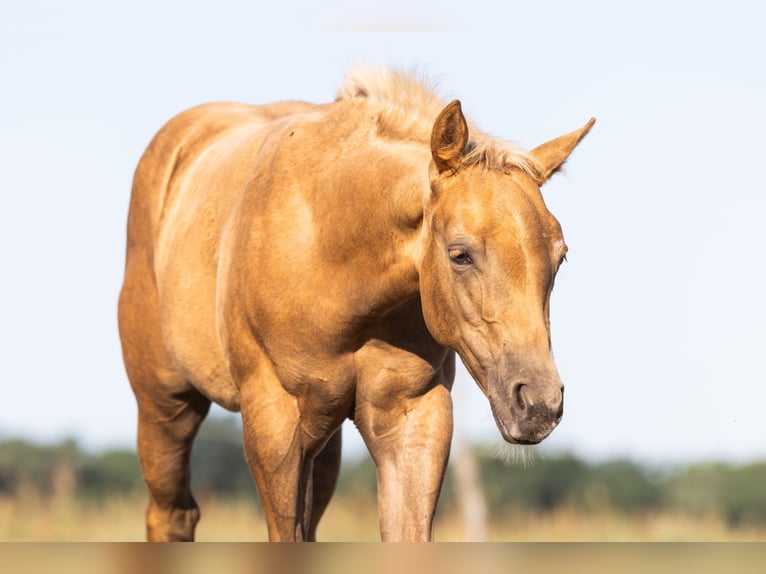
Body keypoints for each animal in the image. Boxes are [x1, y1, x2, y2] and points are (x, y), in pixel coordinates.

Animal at [118, 66, 594, 541]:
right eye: (460, 254)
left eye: (560, 256)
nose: (538, 405)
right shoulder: (274, 419)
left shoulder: (414, 416)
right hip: (166, 405)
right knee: (172, 513)